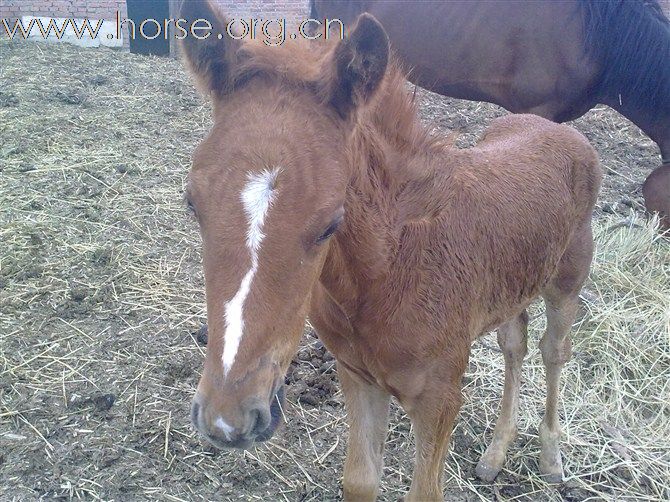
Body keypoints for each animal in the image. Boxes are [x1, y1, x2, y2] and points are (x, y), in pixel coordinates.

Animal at [178, 1, 604, 500]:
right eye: (192, 202)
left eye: (331, 223)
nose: (229, 418)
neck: (391, 270)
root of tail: (559, 130)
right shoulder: (358, 377)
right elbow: (360, 481)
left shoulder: (440, 399)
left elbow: (425, 491)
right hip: (515, 280)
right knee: (513, 344)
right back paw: (496, 452)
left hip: (567, 283)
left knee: (554, 350)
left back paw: (551, 456)